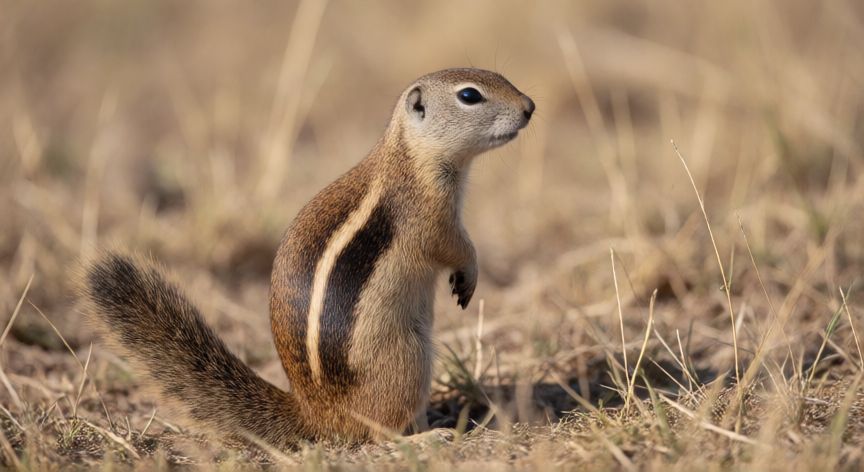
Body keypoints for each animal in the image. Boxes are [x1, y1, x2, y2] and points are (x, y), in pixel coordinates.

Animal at [80, 68, 535, 448]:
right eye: (469, 95)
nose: (530, 107)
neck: (408, 155)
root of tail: (319, 415)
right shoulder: (429, 217)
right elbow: (455, 246)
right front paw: (469, 275)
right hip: (407, 357)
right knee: (380, 433)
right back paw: (426, 437)